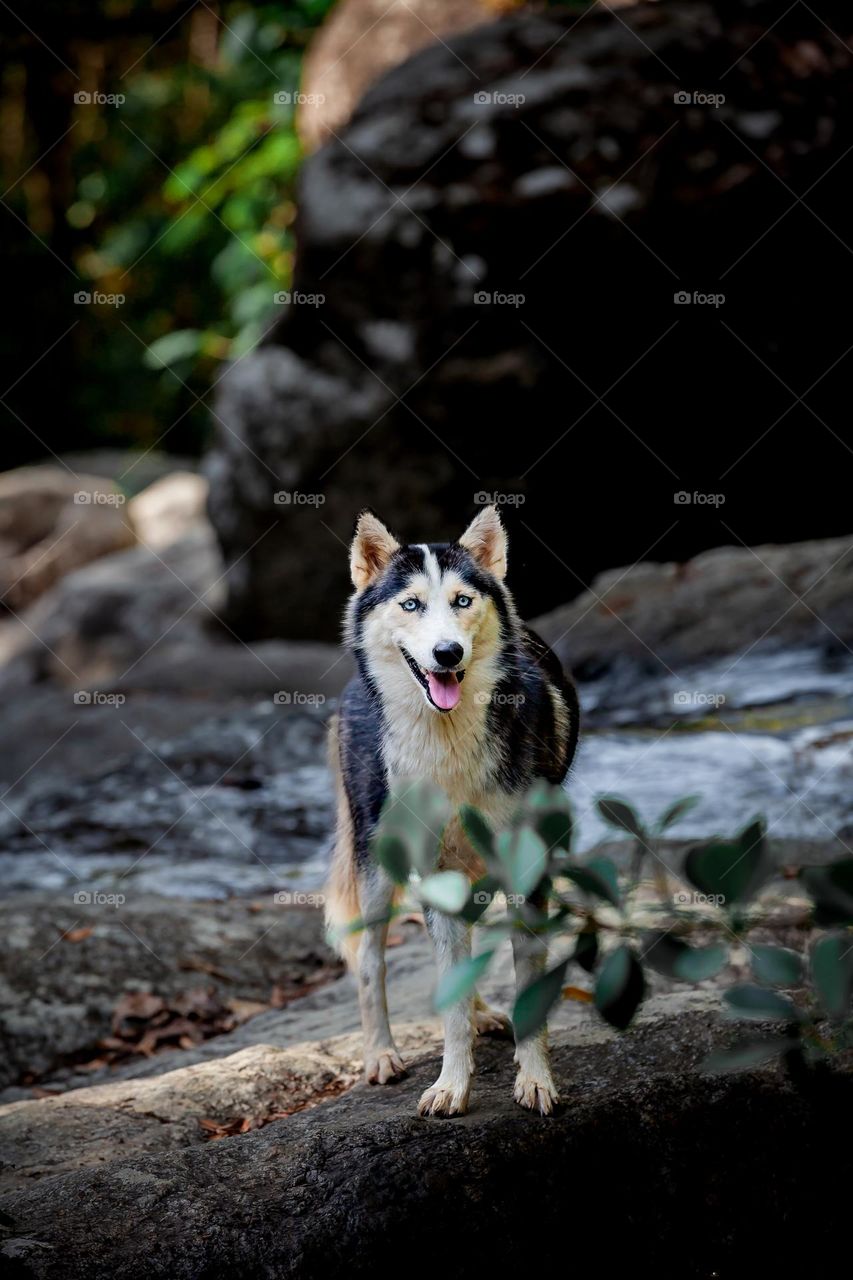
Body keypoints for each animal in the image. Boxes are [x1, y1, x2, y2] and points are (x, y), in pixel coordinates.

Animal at [325, 504, 578, 1116]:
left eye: (463, 601)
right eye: (412, 604)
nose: (447, 654)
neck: (448, 743)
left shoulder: (525, 871)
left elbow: (523, 987)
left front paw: (535, 1081)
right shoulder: (431, 870)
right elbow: (447, 1008)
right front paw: (450, 1087)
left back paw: (486, 1014)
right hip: (376, 866)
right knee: (370, 961)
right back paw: (380, 1056)